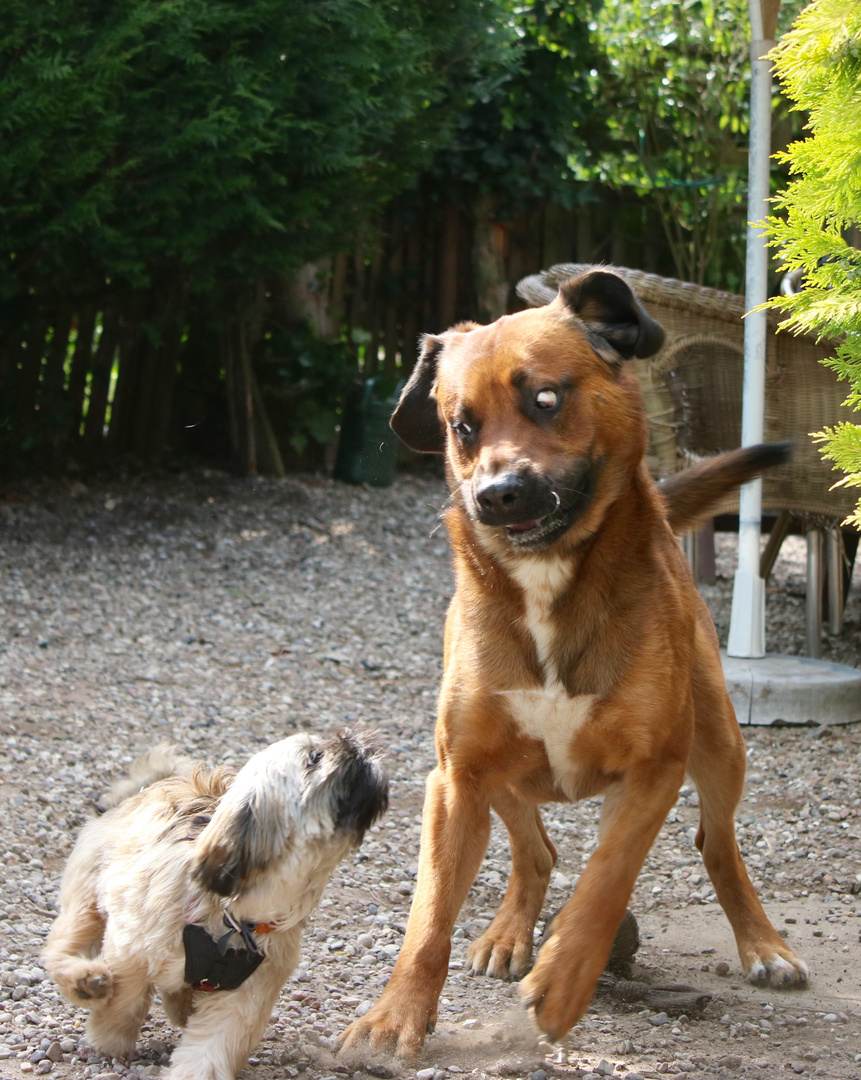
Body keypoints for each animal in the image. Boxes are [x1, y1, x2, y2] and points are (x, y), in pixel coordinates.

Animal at [341, 267, 808, 1054]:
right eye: (462, 426)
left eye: (546, 398)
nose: (496, 495)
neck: (547, 584)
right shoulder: (456, 776)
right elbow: (428, 915)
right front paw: (395, 1014)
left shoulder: (654, 768)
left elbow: (607, 876)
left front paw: (564, 979)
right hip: (500, 776)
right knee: (537, 853)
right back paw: (506, 933)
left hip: (719, 742)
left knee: (714, 842)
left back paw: (763, 944)